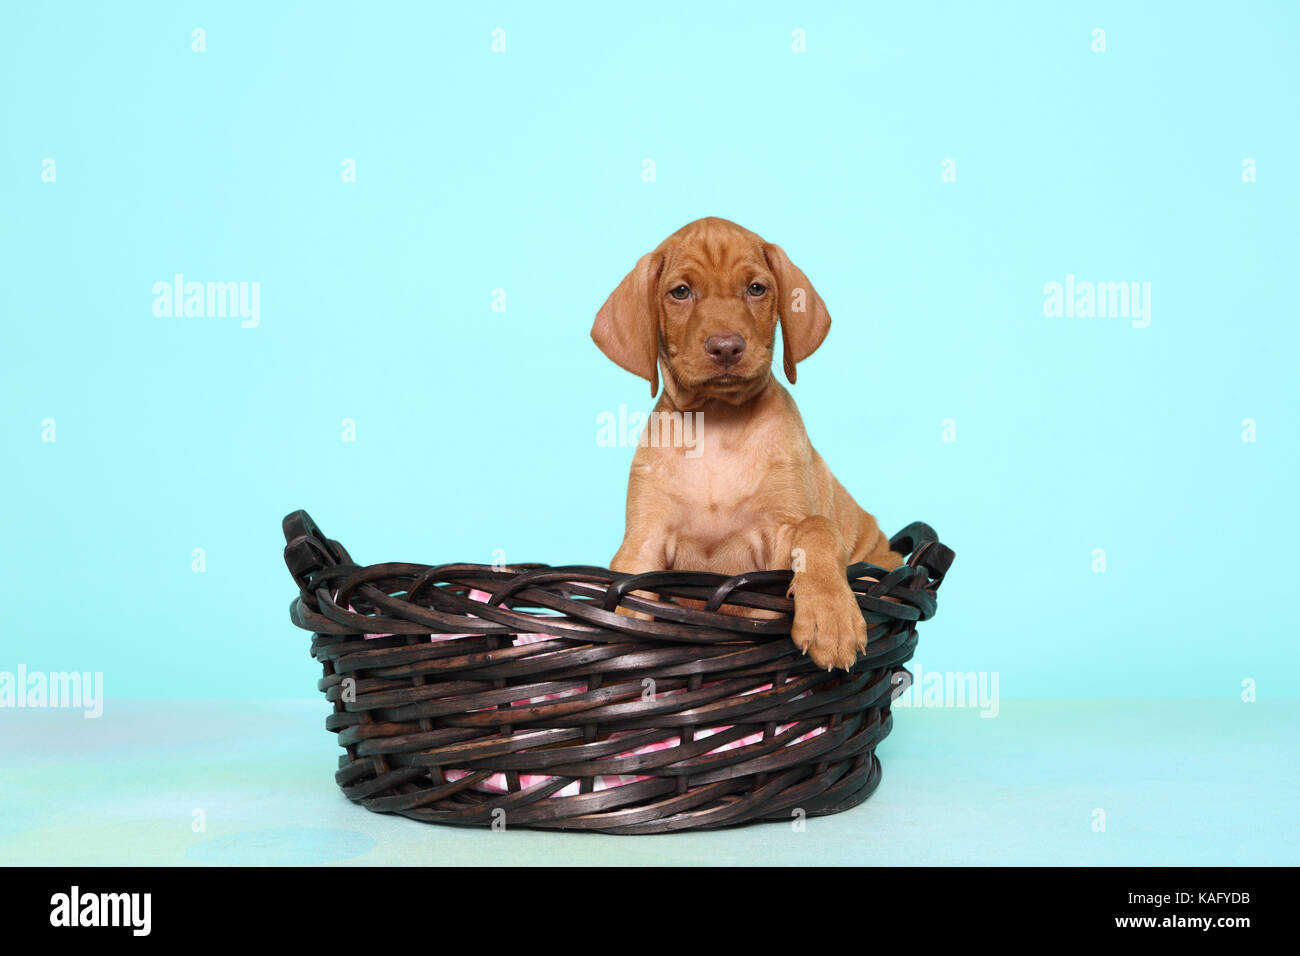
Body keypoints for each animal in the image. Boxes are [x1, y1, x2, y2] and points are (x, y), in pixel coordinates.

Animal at [592, 214, 904, 671]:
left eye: (756, 288)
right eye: (680, 292)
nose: (726, 347)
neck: (718, 424)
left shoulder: (784, 529)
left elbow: (816, 528)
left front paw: (831, 617)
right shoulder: (642, 546)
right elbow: (626, 600)